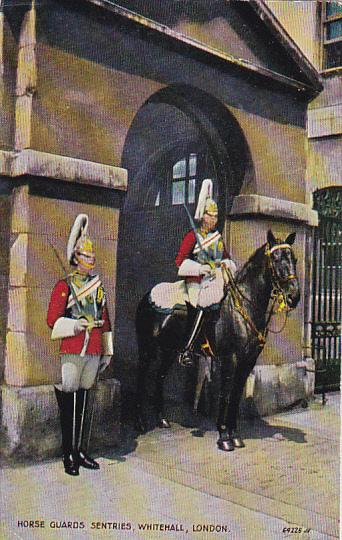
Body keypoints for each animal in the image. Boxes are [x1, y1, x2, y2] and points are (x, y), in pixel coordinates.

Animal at [134, 231, 300, 452]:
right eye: (276, 258)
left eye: (294, 259)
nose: (294, 296)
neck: (244, 306)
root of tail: (148, 295)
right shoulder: (230, 360)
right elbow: (226, 395)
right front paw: (224, 437)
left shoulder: (248, 362)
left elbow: (236, 396)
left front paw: (235, 435)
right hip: (147, 348)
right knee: (142, 377)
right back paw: (139, 422)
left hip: (169, 350)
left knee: (159, 377)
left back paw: (161, 420)